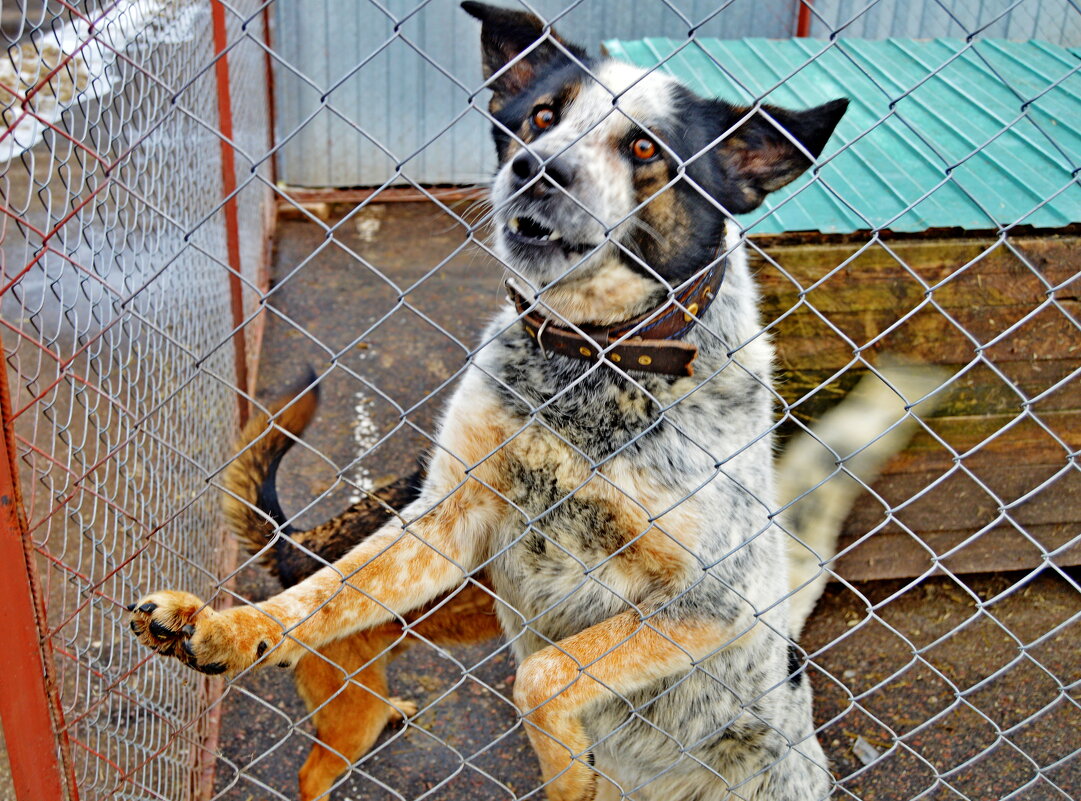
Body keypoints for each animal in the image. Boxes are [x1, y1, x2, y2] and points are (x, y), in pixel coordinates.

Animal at [128, 3, 860, 795]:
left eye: (642, 145)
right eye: (541, 116)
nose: (535, 169)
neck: (586, 358)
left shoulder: (711, 602)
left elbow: (541, 673)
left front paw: (568, 775)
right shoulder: (447, 517)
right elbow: (327, 593)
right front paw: (232, 629)